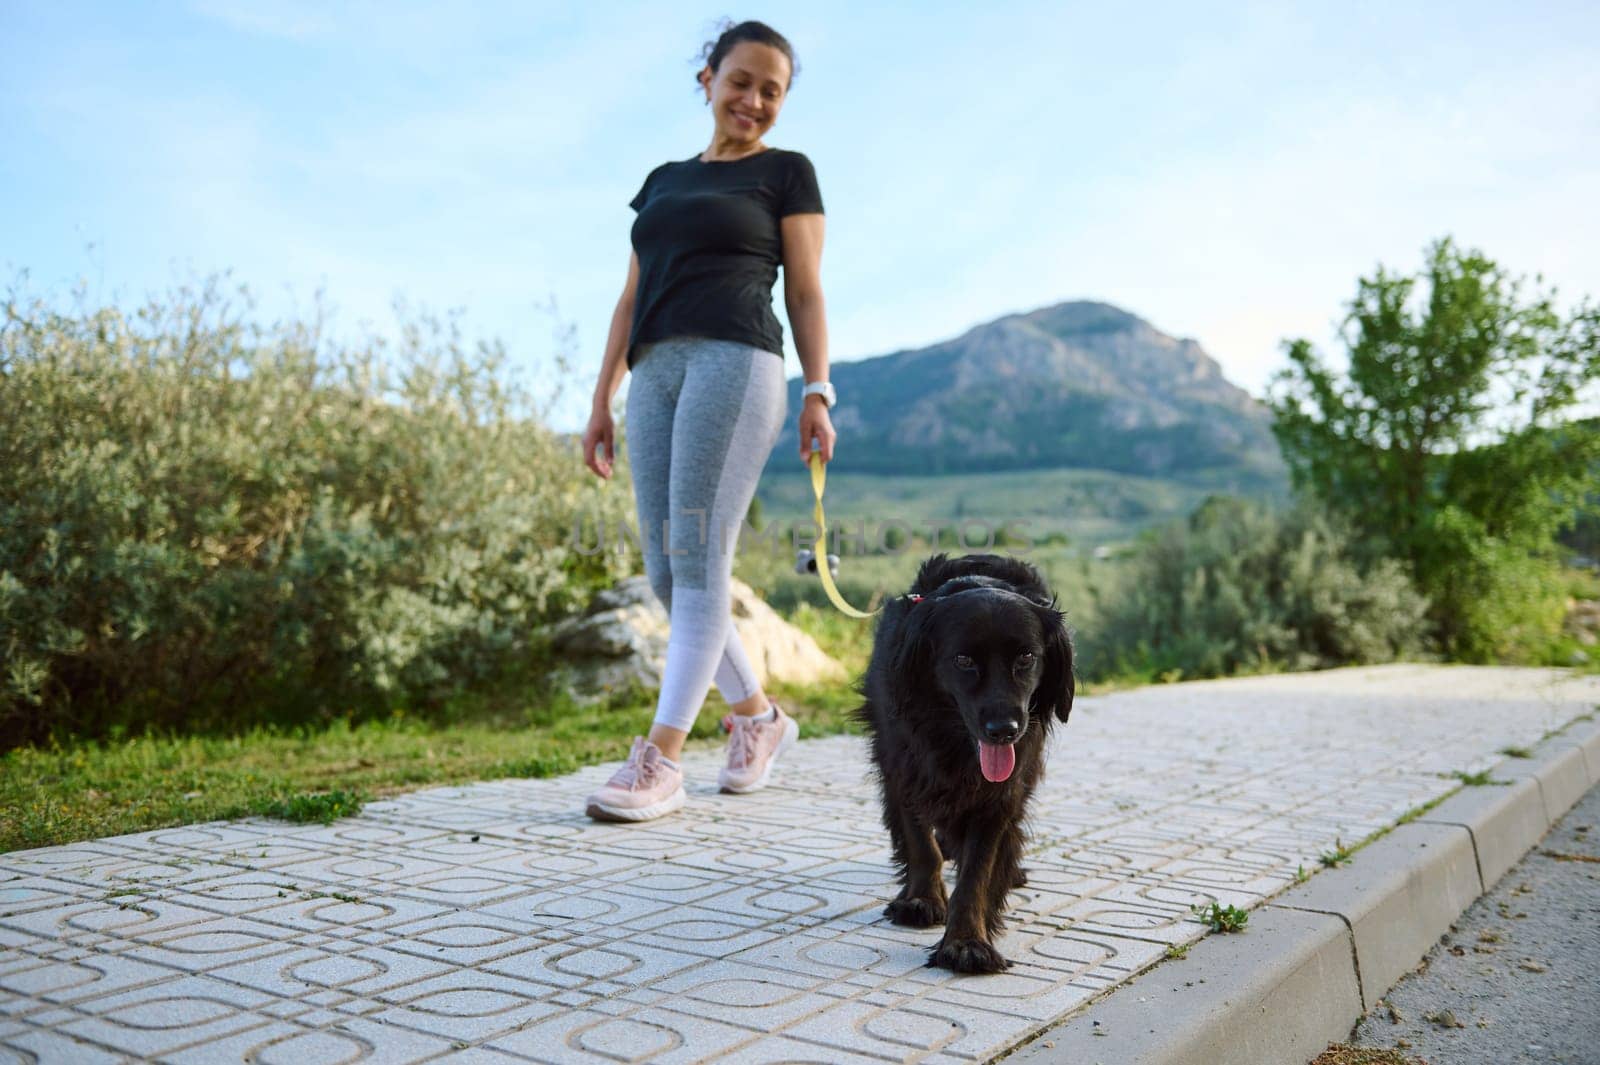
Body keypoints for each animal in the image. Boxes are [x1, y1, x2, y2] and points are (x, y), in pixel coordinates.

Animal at [851, 546, 1075, 972]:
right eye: (963, 660)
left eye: (1027, 657)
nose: (1004, 729)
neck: (954, 740)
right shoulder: (904, 766)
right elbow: (920, 841)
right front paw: (921, 899)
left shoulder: (1000, 792)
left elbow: (978, 870)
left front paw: (966, 941)